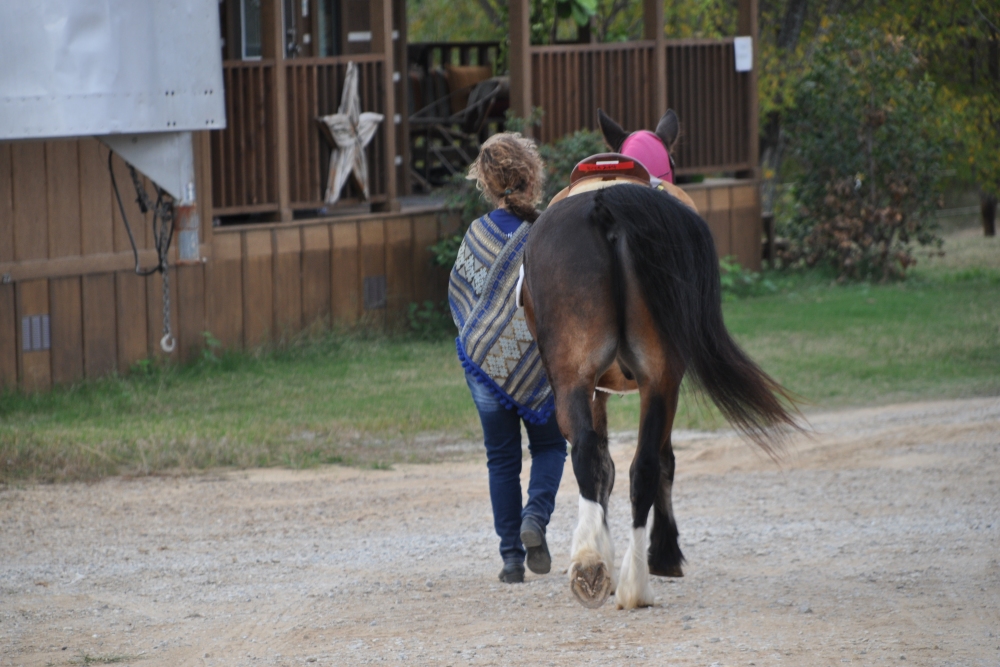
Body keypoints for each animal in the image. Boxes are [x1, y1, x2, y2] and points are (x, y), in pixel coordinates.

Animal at [524, 109, 796, 612]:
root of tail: (606, 204)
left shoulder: (609, 386)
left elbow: (609, 464)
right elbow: (636, 462)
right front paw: (660, 551)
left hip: (589, 377)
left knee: (612, 459)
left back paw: (604, 569)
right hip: (653, 376)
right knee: (642, 463)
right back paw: (624, 573)